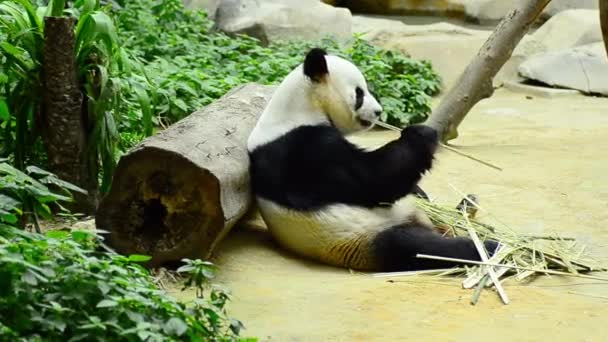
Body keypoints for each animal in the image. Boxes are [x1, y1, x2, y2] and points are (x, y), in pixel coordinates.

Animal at [247, 48, 498, 272]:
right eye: (359, 93)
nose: (378, 112)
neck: (300, 107)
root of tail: (425, 222)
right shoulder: (302, 149)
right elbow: (373, 180)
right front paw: (420, 134)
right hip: (364, 235)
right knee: (416, 247)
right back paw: (488, 247)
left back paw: (466, 207)